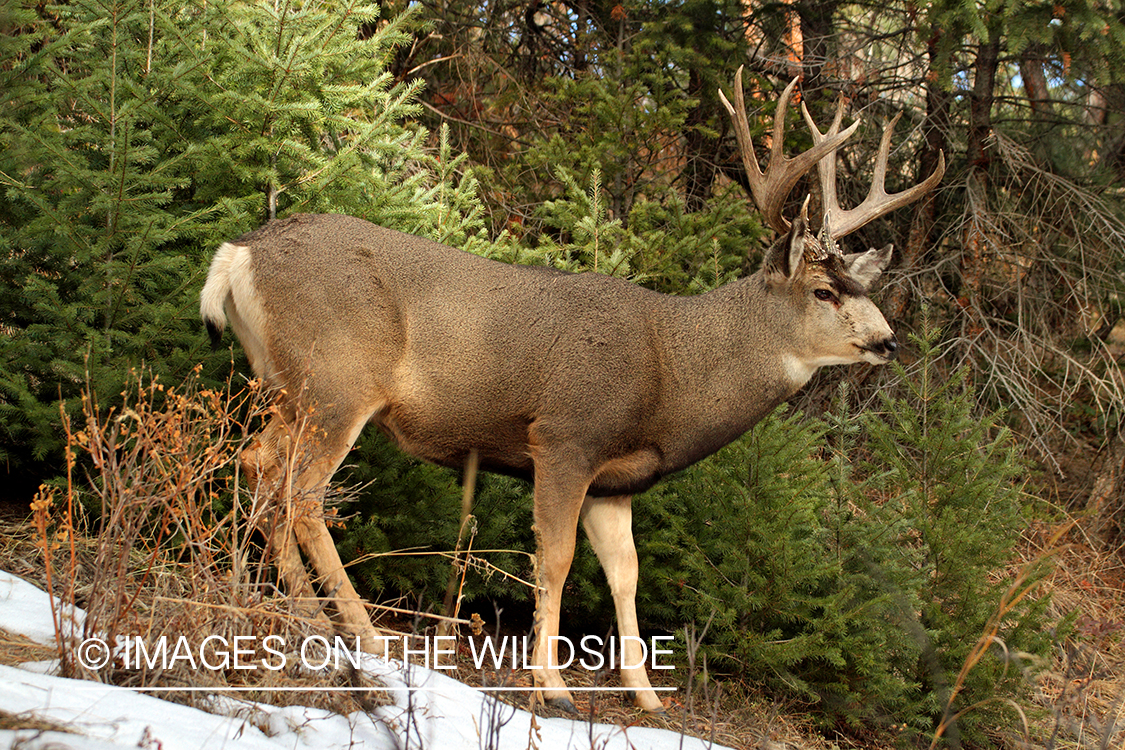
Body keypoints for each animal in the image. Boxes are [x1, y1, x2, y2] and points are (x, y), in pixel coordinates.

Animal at [199, 67, 944, 714]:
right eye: (822, 292)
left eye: (860, 287)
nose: (888, 341)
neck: (669, 371)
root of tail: (238, 253)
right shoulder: (564, 436)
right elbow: (553, 559)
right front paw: (550, 685)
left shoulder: (615, 481)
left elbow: (625, 573)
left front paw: (646, 696)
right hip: (337, 381)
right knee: (301, 491)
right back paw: (358, 632)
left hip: (288, 385)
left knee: (254, 463)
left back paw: (276, 605)